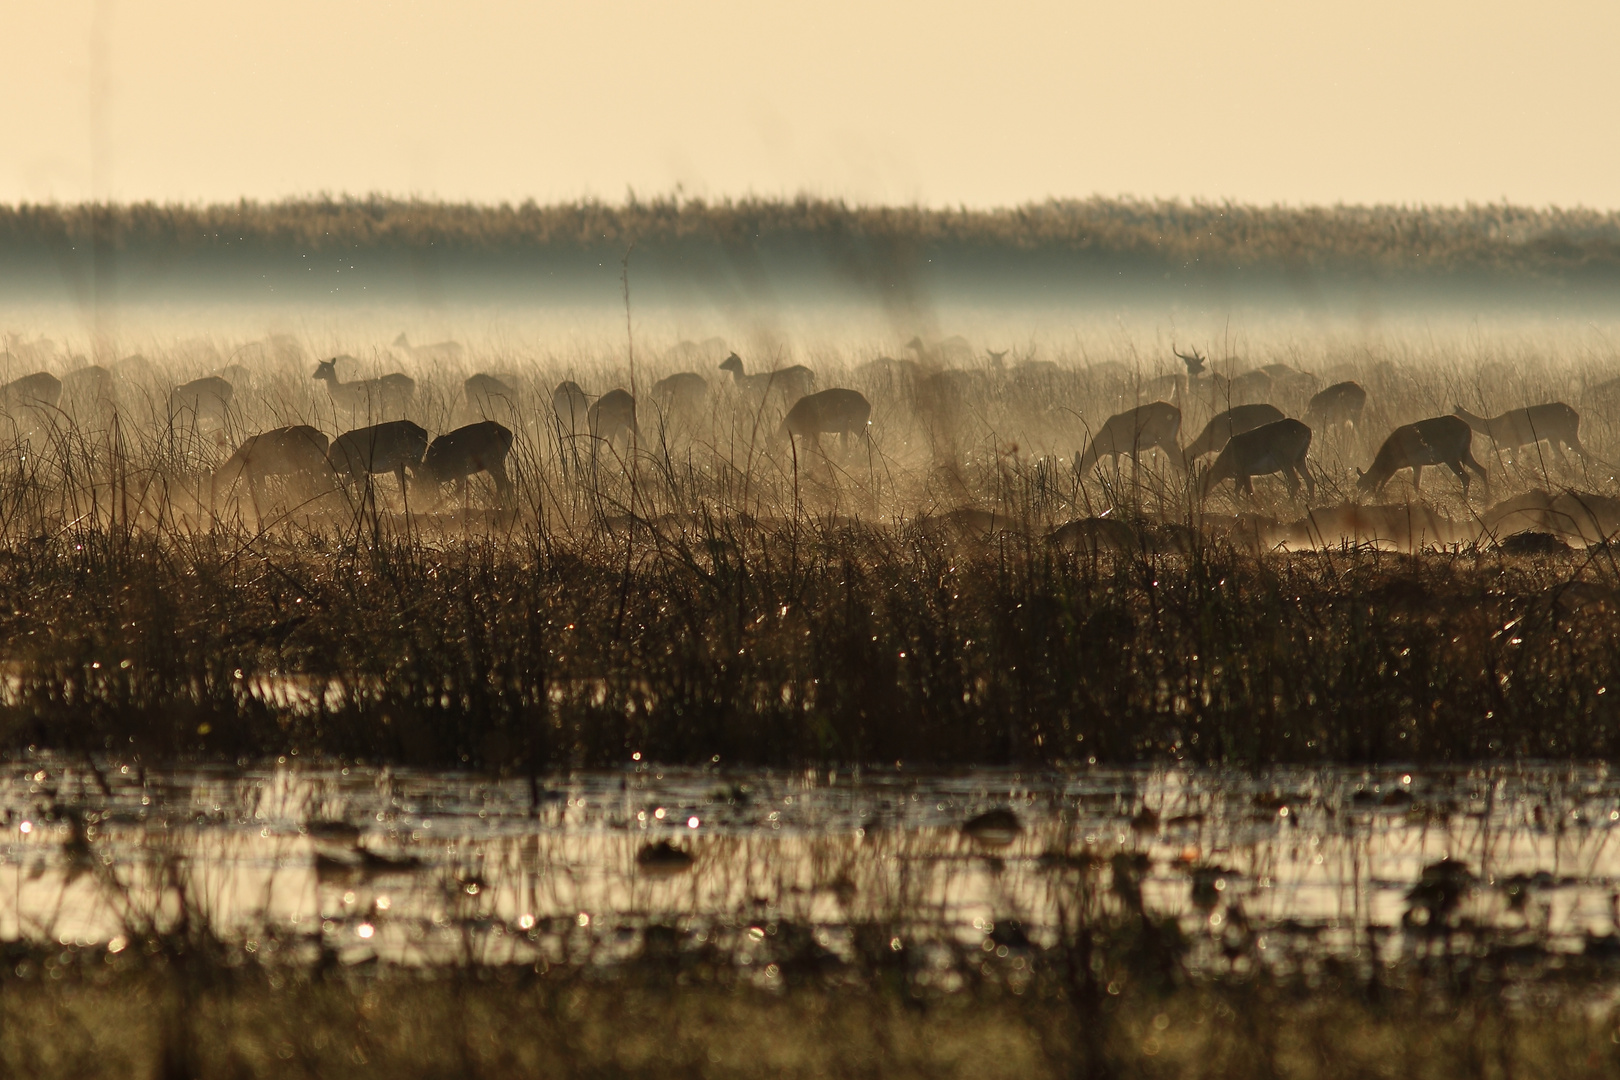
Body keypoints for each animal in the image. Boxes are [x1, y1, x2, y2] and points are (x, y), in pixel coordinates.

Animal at [1347, 417, 1483, 501]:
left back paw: (1466, 500)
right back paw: (1486, 500)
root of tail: (1468, 428)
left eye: (1363, 485)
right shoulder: (1417, 464)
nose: (1359, 500)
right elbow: (1416, 484)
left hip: (1451, 456)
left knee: (1466, 476)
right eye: (1357, 485)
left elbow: (1383, 483)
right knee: (1482, 469)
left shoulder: (1394, 465)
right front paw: (1419, 499)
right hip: (1465, 453)